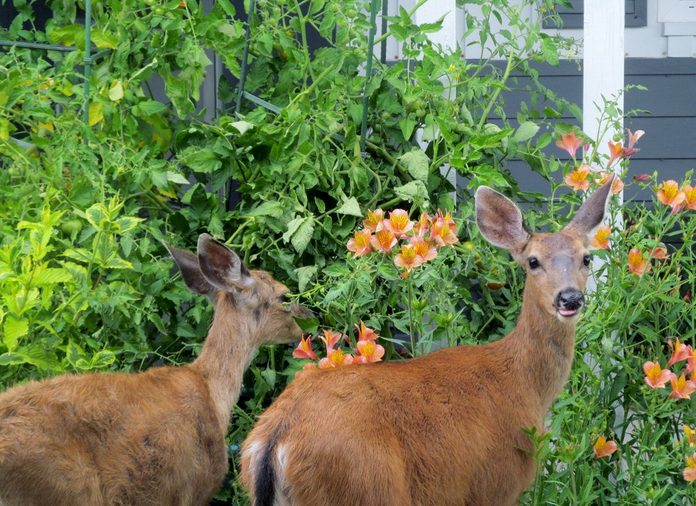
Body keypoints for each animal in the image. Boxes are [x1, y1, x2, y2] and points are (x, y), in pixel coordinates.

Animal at [241, 179, 616, 506]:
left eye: (586, 258)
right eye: (533, 261)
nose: (570, 298)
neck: (527, 384)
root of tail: (275, 439)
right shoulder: (497, 484)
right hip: (366, 488)